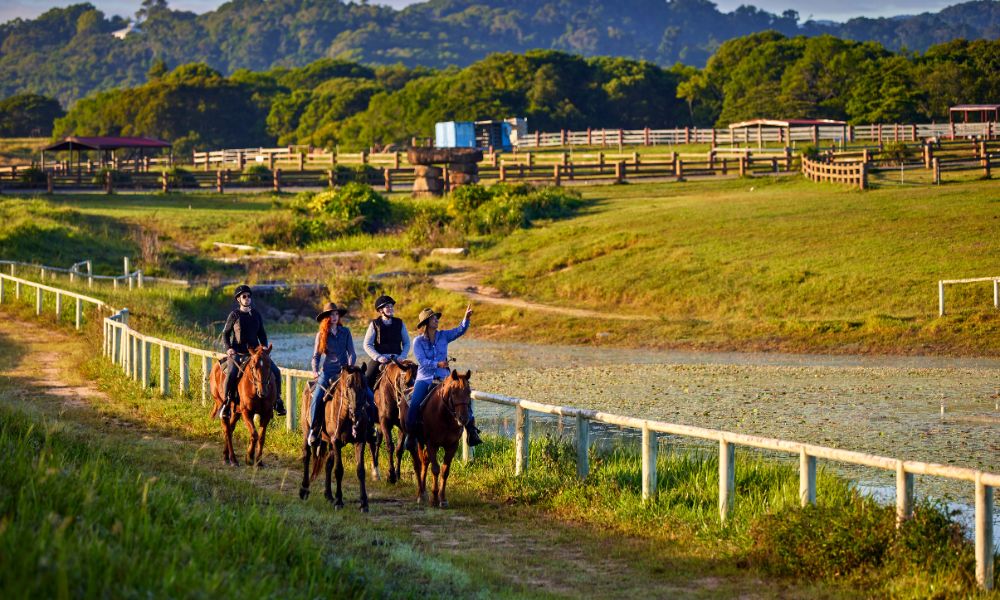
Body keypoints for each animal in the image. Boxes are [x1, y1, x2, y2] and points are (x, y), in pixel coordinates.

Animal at [298, 364, 371, 512]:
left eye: (365, 385)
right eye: (348, 385)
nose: (356, 412)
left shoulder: (360, 441)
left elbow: (360, 470)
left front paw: (364, 503)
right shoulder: (336, 442)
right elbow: (339, 470)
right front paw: (339, 501)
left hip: (329, 443)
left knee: (327, 464)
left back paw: (329, 495)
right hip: (307, 431)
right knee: (307, 456)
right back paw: (304, 490)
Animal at [410, 369, 472, 508]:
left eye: (469, 392)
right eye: (454, 392)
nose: (463, 418)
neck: (445, 417)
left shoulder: (452, 445)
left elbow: (445, 470)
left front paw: (442, 499)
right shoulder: (432, 444)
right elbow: (435, 469)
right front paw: (434, 498)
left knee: (425, 460)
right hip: (420, 440)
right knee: (421, 462)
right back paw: (421, 494)